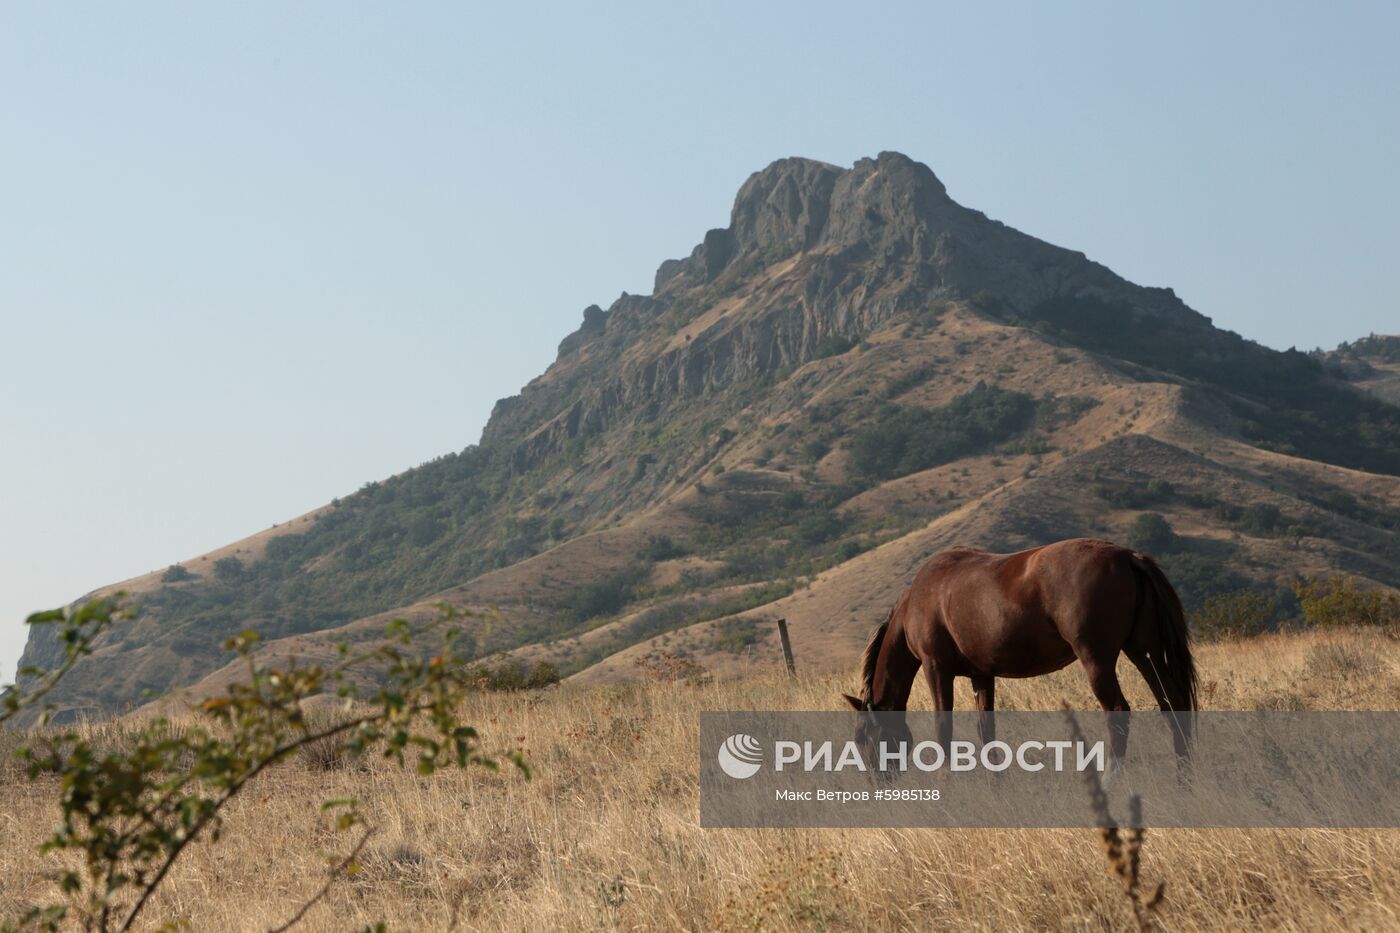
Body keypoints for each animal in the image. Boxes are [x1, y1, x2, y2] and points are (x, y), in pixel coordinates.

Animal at [834, 535, 1198, 762]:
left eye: (863, 737)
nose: (877, 781)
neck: (920, 600)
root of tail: (1127, 557)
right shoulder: (981, 676)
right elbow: (987, 733)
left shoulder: (936, 668)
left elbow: (943, 731)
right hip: (1144, 653)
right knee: (1173, 705)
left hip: (1098, 660)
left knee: (1119, 714)